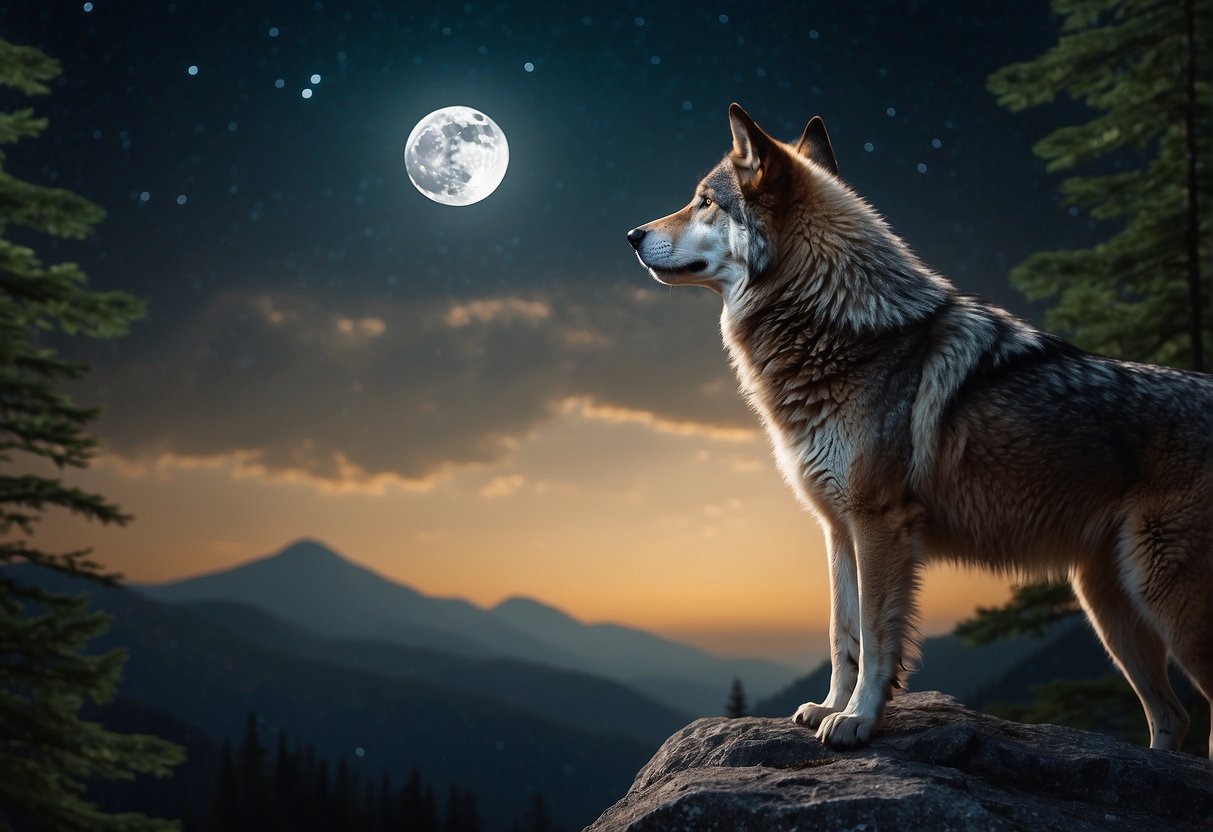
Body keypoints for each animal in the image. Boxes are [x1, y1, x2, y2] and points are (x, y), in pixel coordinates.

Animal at [627, 103, 1213, 757]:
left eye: (704, 201)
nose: (631, 235)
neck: (838, 331)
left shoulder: (879, 522)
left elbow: (877, 636)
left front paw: (858, 720)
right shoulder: (838, 529)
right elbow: (842, 633)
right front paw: (829, 706)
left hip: (1167, 599)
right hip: (1111, 606)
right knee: (1172, 717)